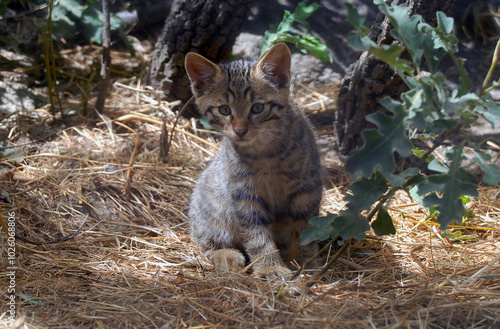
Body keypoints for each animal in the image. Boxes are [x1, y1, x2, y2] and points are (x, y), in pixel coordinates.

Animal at [186, 41, 322, 276]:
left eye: (258, 108)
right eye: (224, 110)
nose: (240, 130)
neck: (264, 153)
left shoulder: (307, 188)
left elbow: (304, 228)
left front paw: (303, 261)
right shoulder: (244, 194)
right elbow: (257, 236)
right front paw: (270, 267)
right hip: (212, 211)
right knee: (205, 240)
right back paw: (226, 255)